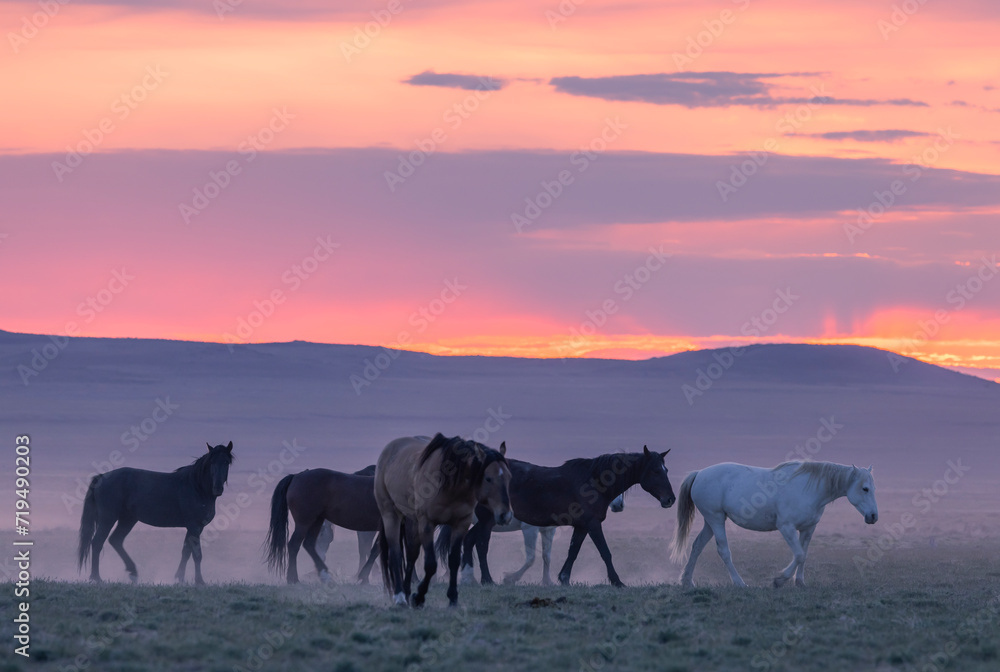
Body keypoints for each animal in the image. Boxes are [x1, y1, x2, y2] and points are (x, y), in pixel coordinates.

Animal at [78, 442, 234, 584]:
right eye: (212, 462)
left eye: (226, 462)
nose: (217, 488)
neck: (196, 487)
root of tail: (101, 476)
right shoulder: (194, 526)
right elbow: (196, 554)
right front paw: (199, 581)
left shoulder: (194, 528)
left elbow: (186, 551)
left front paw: (180, 578)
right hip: (108, 518)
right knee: (97, 543)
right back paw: (97, 578)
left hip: (128, 519)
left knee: (116, 540)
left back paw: (133, 572)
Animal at [375, 433, 511, 607]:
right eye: (488, 478)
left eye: (509, 477)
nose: (505, 515)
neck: (451, 484)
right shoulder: (427, 524)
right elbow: (430, 564)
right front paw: (419, 597)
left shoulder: (461, 524)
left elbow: (454, 560)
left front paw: (452, 598)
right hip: (391, 515)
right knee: (395, 554)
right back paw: (399, 597)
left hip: (412, 521)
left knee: (411, 554)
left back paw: (406, 591)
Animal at [459, 493, 626, 586]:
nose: (619, 505)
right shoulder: (530, 529)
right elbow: (531, 558)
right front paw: (511, 578)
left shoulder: (548, 530)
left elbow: (547, 556)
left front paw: (547, 581)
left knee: (468, 542)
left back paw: (468, 578)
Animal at [670, 461, 878, 588]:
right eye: (865, 488)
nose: (873, 516)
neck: (809, 489)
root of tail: (699, 473)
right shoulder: (786, 527)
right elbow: (799, 554)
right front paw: (779, 580)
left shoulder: (808, 529)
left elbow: (804, 555)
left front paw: (799, 582)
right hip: (716, 519)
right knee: (723, 551)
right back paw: (740, 583)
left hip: (710, 522)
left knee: (697, 546)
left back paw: (687, 581)